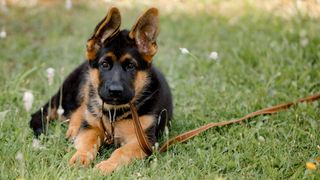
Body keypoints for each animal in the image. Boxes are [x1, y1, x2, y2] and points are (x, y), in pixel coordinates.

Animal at [29, 7, 172, 174]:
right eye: (104, 64)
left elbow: (122, 151)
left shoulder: (144, 140)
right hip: (84, 88)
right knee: (79, 109)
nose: (115, 91)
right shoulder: (91, 128)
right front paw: (80, 157)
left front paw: (107, 165)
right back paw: (74, 128)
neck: (114, 113)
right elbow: (87, 142)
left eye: (131, 66)